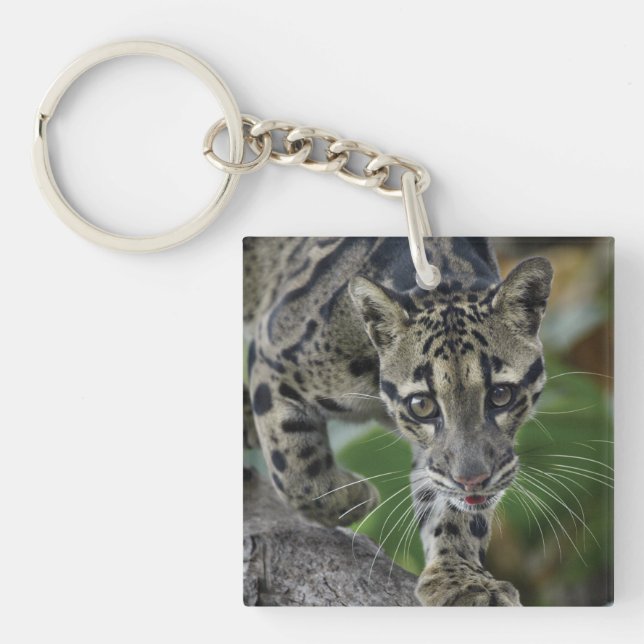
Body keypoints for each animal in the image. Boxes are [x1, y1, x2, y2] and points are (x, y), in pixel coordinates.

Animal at [243, 236, 553, 606]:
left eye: (501, 394)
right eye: (422, 405)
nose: (473, 481)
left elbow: (450, 507)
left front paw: (462, 580)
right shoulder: (271, 357)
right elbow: (297, 471)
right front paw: (357, 498)